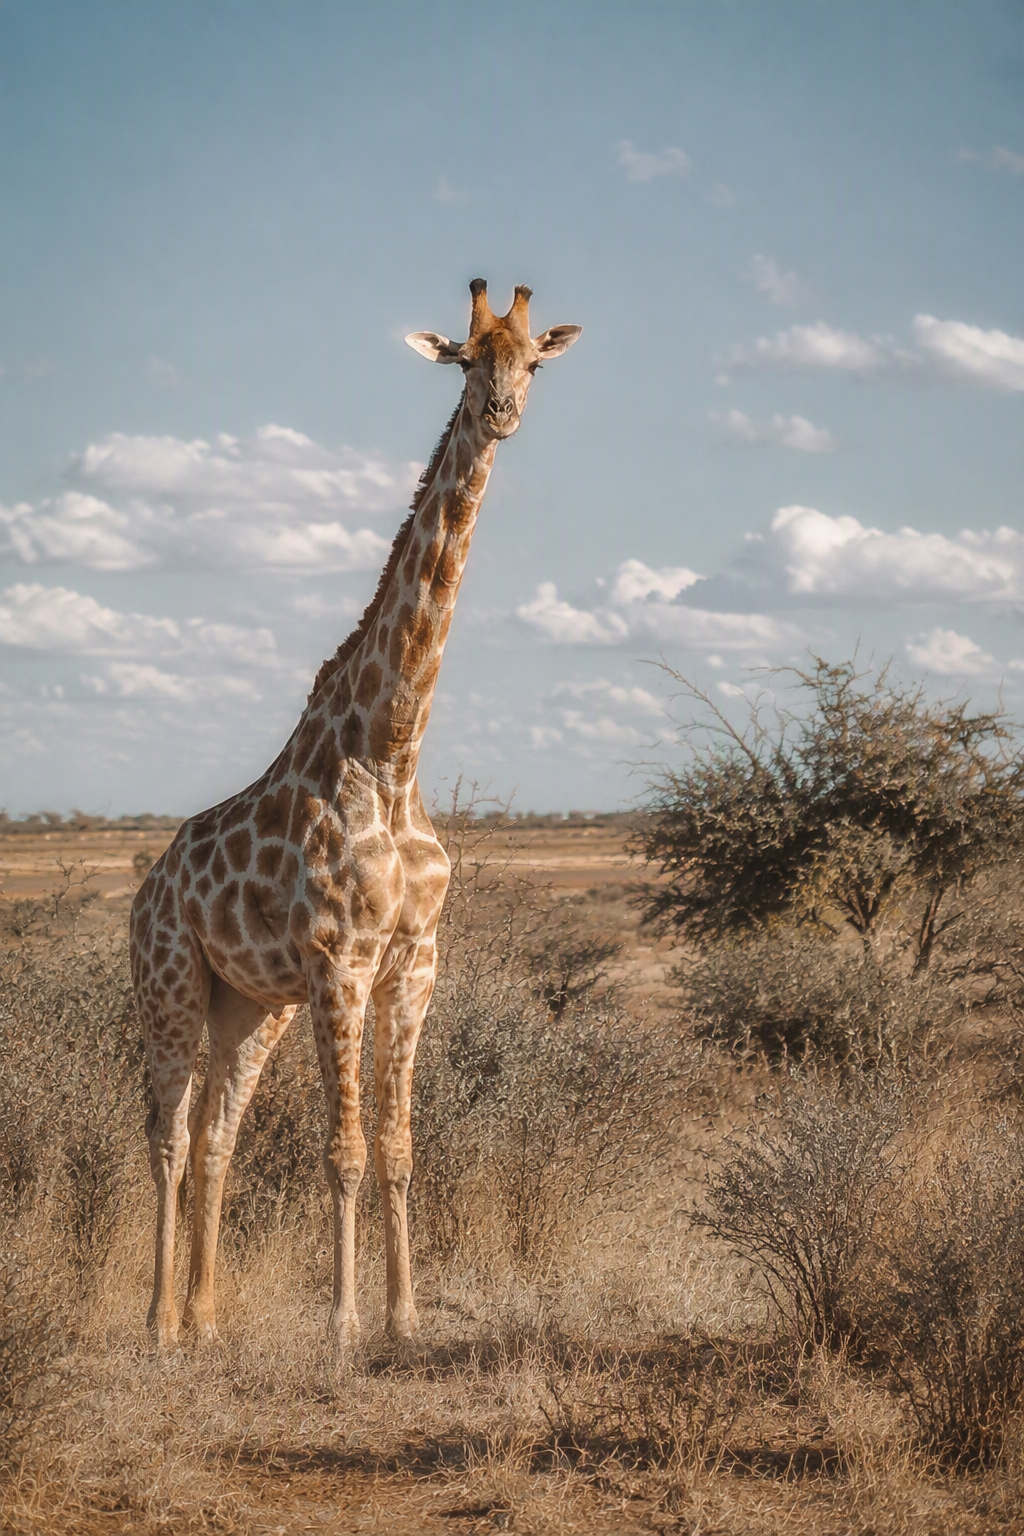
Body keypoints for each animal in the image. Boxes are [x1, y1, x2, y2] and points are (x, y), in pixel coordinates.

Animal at [130, 280, 582, 1352]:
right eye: (465, 358)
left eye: (532, 361)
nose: (502, 411)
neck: (391, 751)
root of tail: (147, 888)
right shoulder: (342, 958)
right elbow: (340, 1149)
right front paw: (341, 1324)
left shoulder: (413, 962)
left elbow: (399, 1143)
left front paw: (406, 1318)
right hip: (169, 981)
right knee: (164, 1132)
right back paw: (159, 1323)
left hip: (251, 1006)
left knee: (214, 1135)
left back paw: (207, 1321)